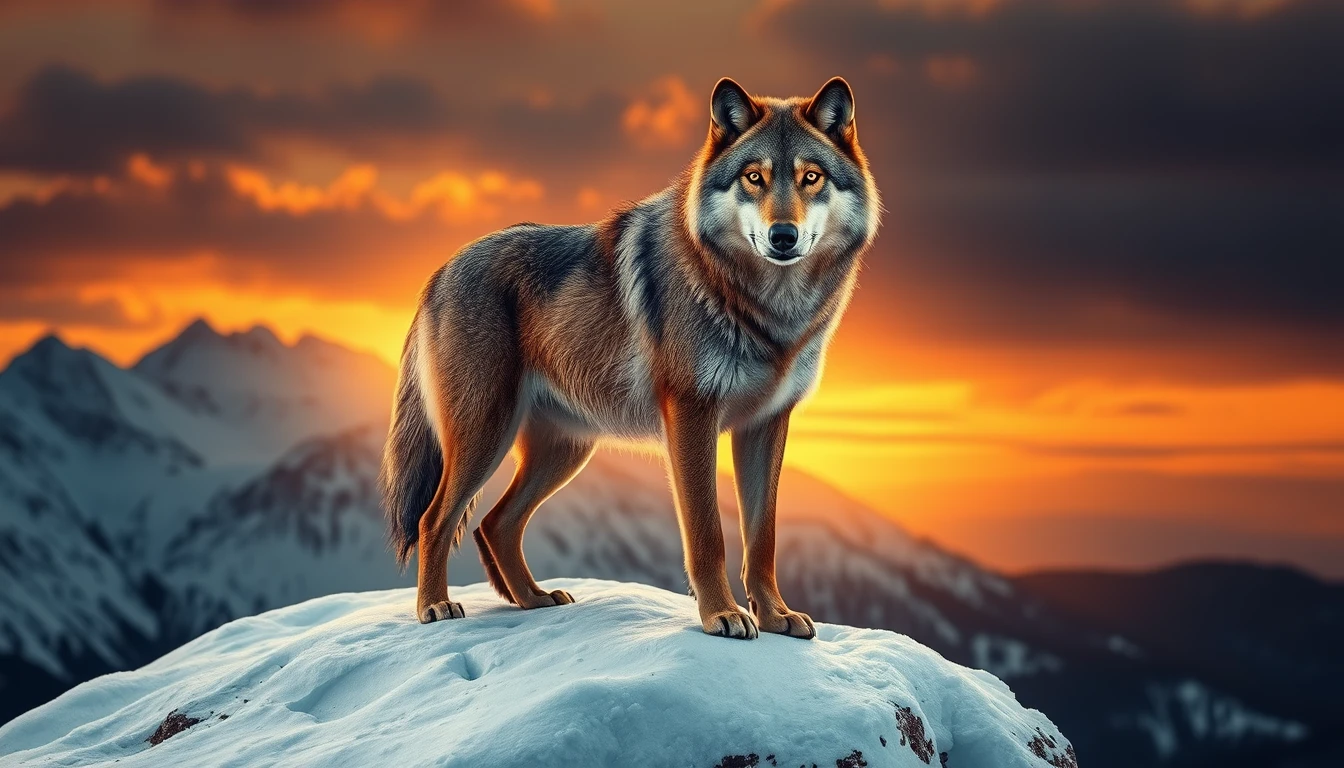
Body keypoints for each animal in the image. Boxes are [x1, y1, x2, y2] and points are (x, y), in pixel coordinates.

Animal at [380, 77, 880, 639]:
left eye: (810, 177)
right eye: (755, 178)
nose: (783, 236)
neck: (765, 310)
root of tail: (439, 270)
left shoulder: (767, 425)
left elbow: (763, 537)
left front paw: (774, 616)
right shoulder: (692, 415)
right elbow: (708, 534)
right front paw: (722, 616)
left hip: (565, 451)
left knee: (495, 523)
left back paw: (533, 600)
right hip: (486, 435)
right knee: (434, 519)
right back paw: (435, 608)